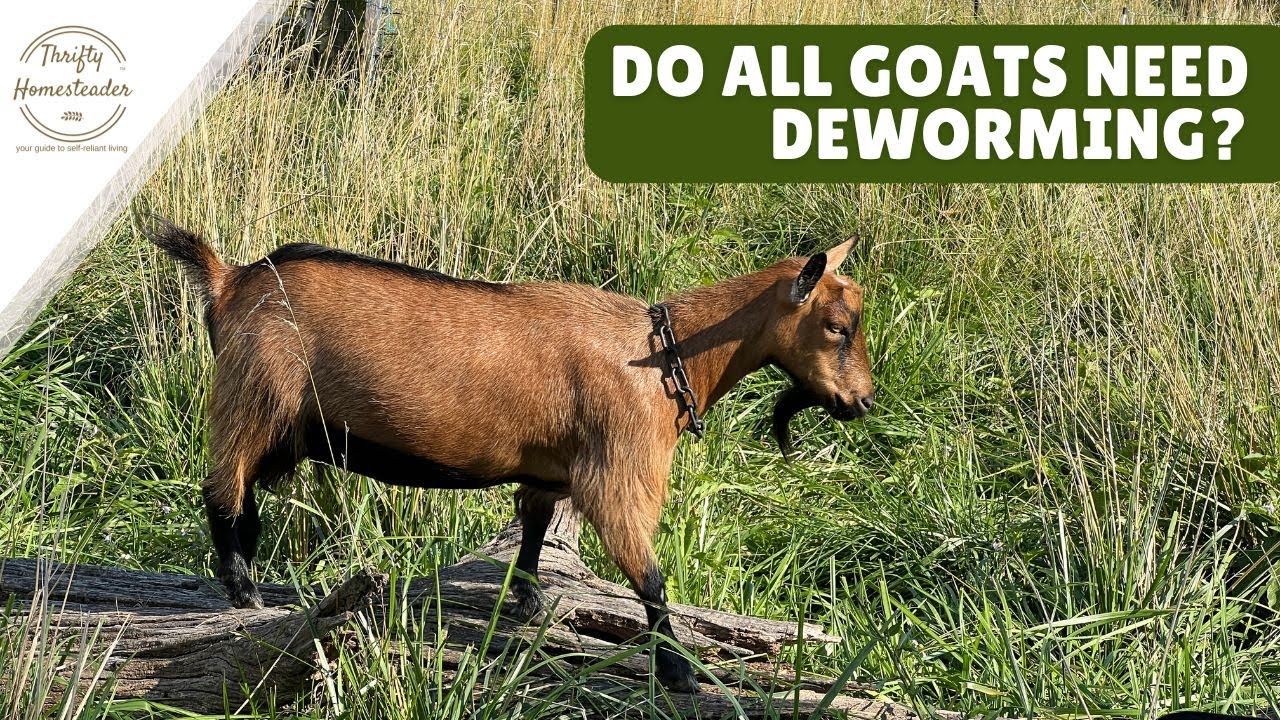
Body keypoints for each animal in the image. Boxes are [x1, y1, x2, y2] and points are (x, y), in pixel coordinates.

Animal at [149, 220, 875, 692]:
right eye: (837, 328)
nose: (863, 402)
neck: (665, 356)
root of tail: (229, 281)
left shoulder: (553, 469)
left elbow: (533, 526)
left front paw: (526, 601)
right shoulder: (618, 474)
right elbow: (650, 578)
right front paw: (677, 672)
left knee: (244, 498)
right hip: (253, 397)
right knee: (220, 489)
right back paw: (241, 589)